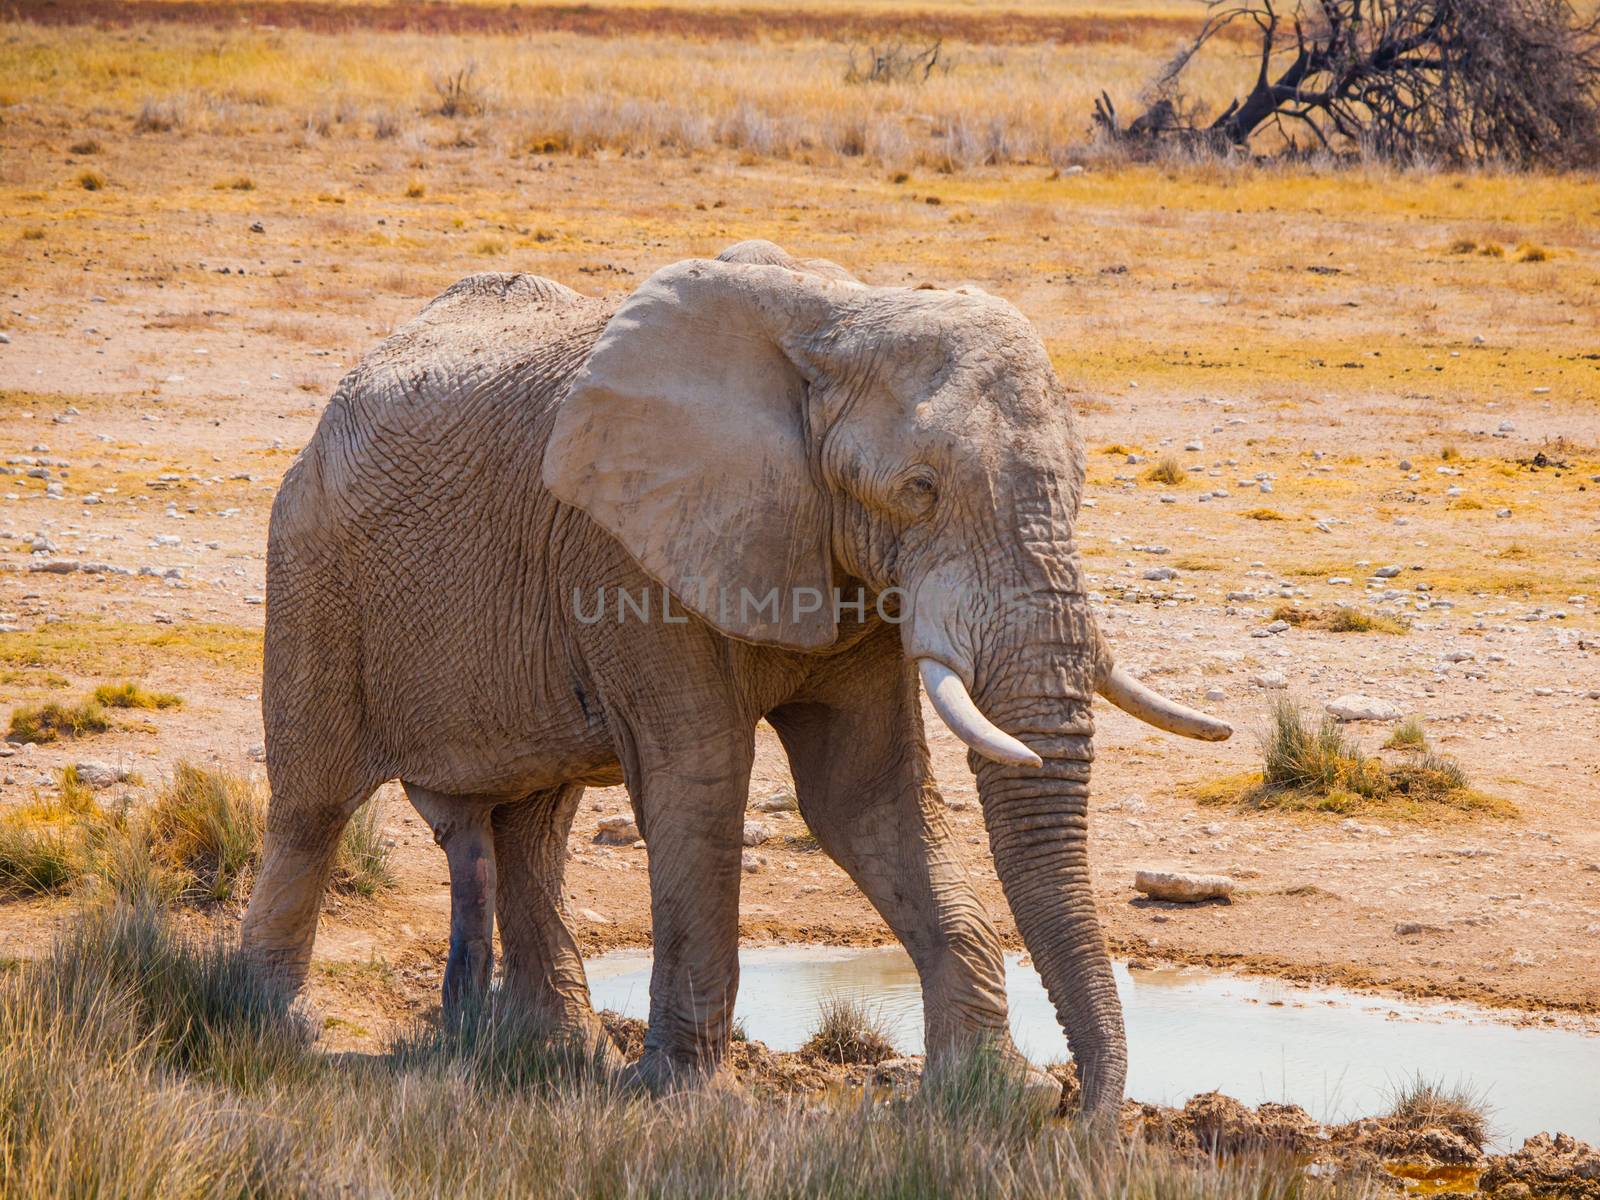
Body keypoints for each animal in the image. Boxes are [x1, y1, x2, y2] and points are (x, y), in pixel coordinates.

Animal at [243, 236, 1228, 1120]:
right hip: (311, 566)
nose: (1083, 1113)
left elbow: (866, 795)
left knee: (535, 824)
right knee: (312, 805)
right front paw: (688, 1102)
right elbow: (702, 782)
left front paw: (991, 1097)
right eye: (919, 489)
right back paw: (271, 1032)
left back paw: (555, 1057)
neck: (842, 318)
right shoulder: (632, 553)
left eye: (1080, 485)